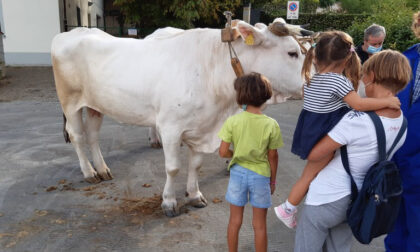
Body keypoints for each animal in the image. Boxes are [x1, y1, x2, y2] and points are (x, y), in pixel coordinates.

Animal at [50, 18, 310, 217]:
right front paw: (169, 202)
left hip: (96, 105)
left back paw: (103, 169)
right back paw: (89, 172)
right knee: (78, 136)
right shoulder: (170, 127)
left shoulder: (202, 127)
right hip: (70, 101)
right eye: (292, 52)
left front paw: (194, 195)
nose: (310, 82)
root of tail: (73, 31)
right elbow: (173, 167)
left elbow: (195, 164)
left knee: (93, 136)